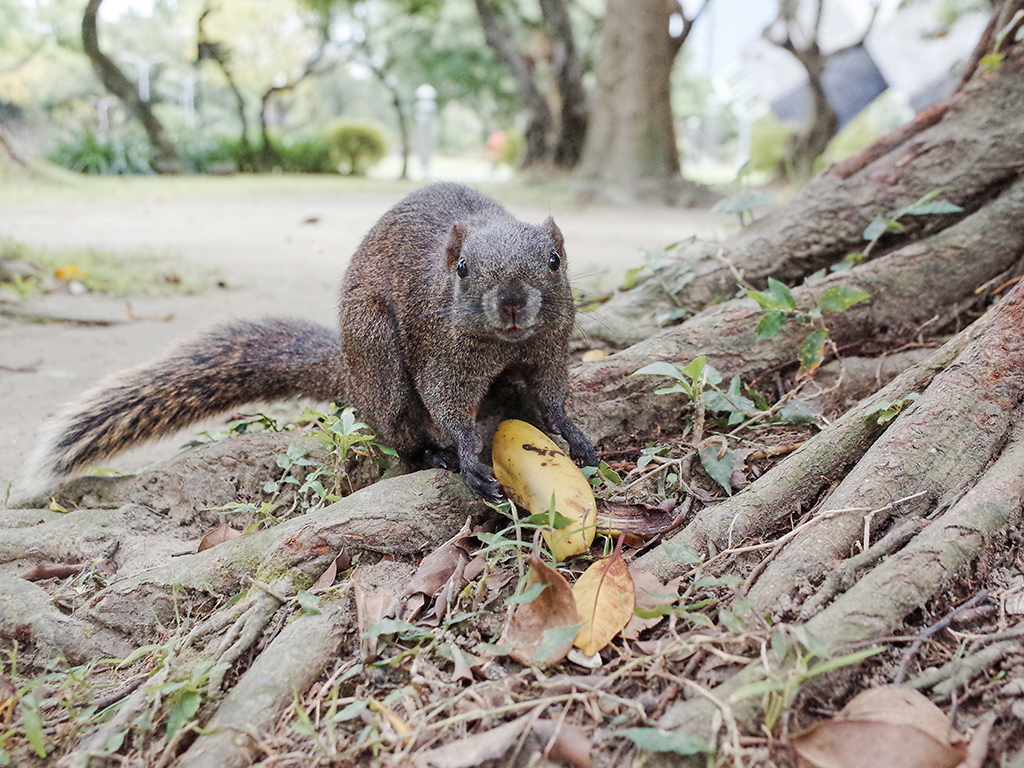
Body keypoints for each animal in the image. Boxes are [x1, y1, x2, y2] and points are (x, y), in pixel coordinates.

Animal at [22, 183, 598, 501]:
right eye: (461, 269)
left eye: (555, 260)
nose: (513, 302)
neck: (505, 343)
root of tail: (351, 375)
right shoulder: (443, 352)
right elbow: (446, 402)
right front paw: (467, 455)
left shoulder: (550, 346)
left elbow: (552, 393)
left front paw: (572, 430)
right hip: (378, 361)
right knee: (400, 434)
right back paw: (434, 455)